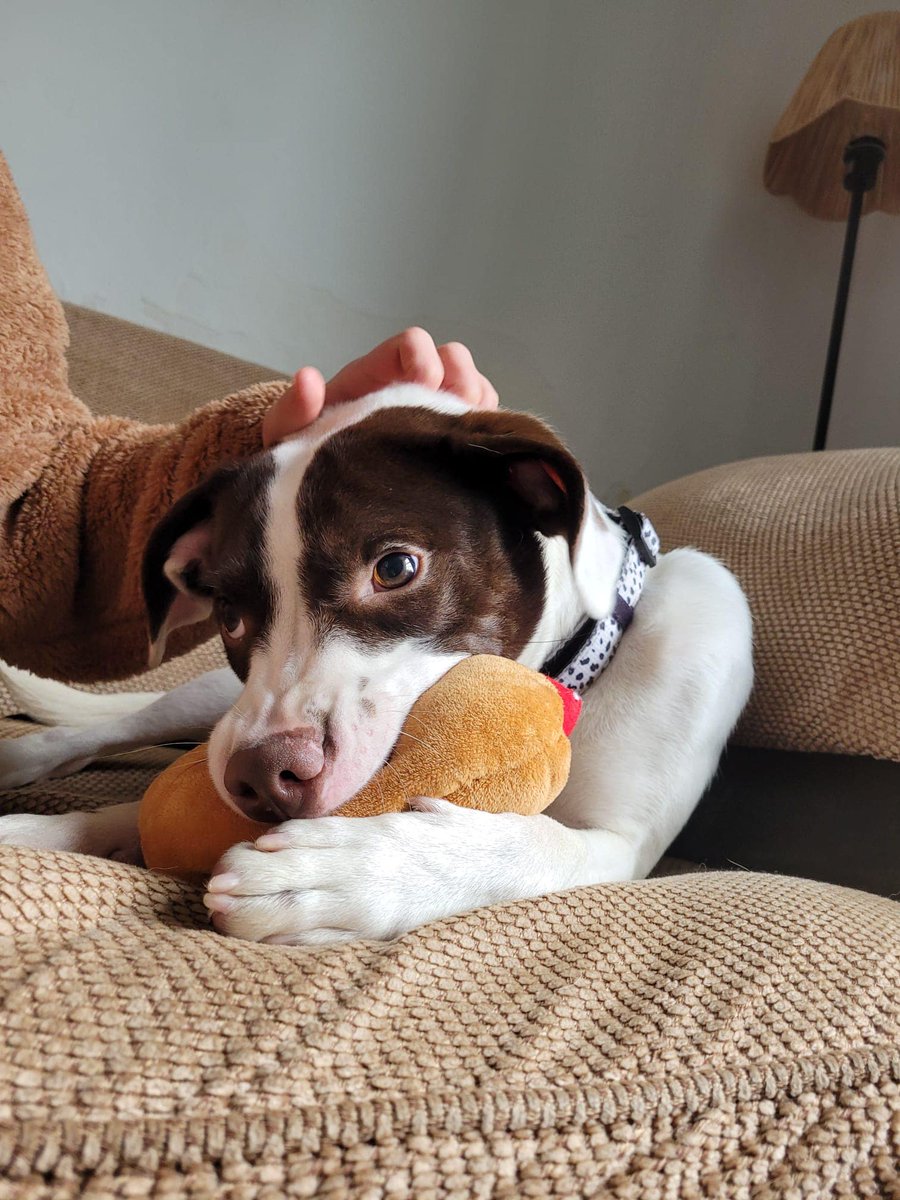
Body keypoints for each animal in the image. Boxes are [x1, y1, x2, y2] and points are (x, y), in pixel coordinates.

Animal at [0, 386, 753, 945]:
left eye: (394, 568)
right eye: (230, 616)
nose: (260, 780)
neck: (575, 681)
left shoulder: (624, 845)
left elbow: (529, 845)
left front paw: (352, 873)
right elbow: (131, 810)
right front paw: (42, 831)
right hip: (212, 707)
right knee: (123, 722)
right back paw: (29, 755)